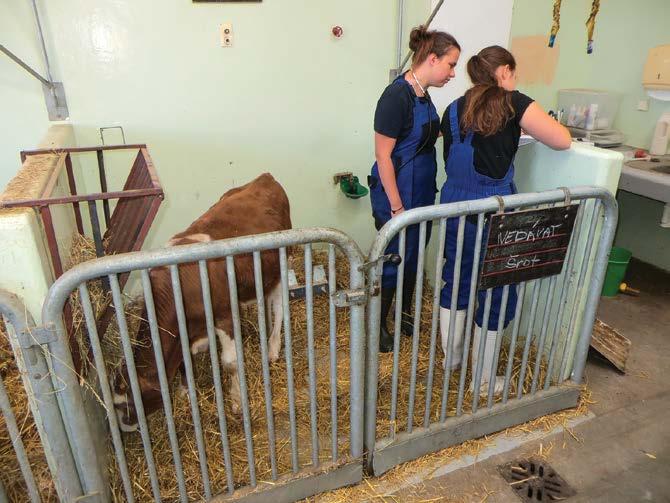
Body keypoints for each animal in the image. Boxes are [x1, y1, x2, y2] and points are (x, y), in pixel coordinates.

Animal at [112, 174, 292, 434]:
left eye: (131, 405)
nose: (124, 431)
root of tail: (265, 177)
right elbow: (184, 363)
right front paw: (186, 392)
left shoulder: (224, 314)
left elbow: (230, 363)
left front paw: (237, 401)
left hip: (282, 262)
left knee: (278, 306)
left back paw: (273, 348)